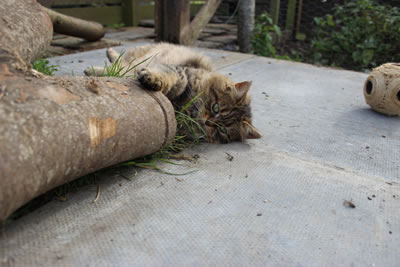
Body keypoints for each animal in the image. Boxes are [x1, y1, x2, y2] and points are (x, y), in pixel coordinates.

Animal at [85, 43, 262, 144]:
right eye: (216, 108)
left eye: (222, 130)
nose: (208, 122)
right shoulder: (181, 72)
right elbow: (172, 79)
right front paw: (153, 79)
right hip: (136, 55)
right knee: (119, 63)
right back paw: (98, 63)